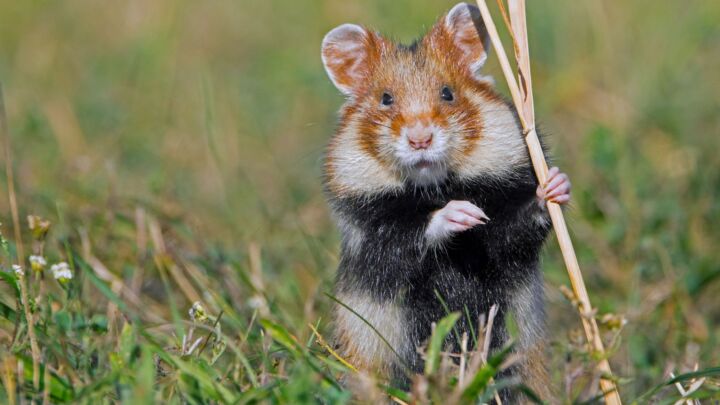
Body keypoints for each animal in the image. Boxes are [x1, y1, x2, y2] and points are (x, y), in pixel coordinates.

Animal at [320, 2, 571, 401]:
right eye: (386, 99)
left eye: (448, 93)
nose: (420, 139)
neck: (435, 187)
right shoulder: (372, 236)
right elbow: (407, 237)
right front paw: (461, 214)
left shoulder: (503, 237)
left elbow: (514, 229)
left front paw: (555, 186)